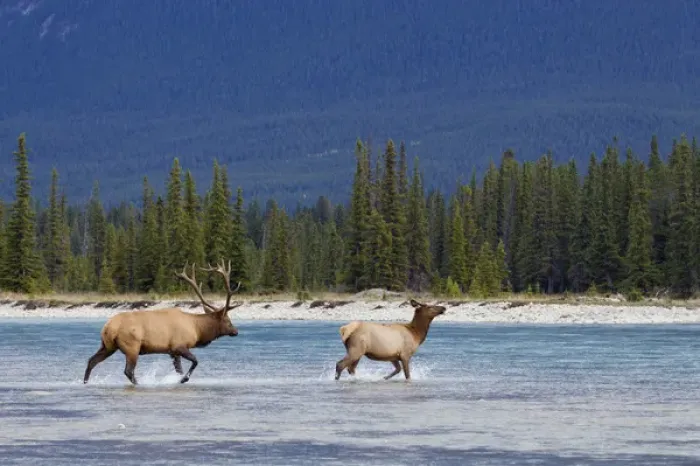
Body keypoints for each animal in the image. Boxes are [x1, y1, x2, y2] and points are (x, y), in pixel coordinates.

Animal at [83, 259, 242, 385]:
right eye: (228, 320)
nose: (236, 331)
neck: (197, 330)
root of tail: (107, 328)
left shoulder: (173, 352)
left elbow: (179, 369)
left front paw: (180, 378)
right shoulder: (179, 345)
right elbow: (195, 361)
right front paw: (183, 379)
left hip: (107, 346)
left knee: (91, 361)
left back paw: (85, 382)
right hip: (132, 346)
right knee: (128, 371)